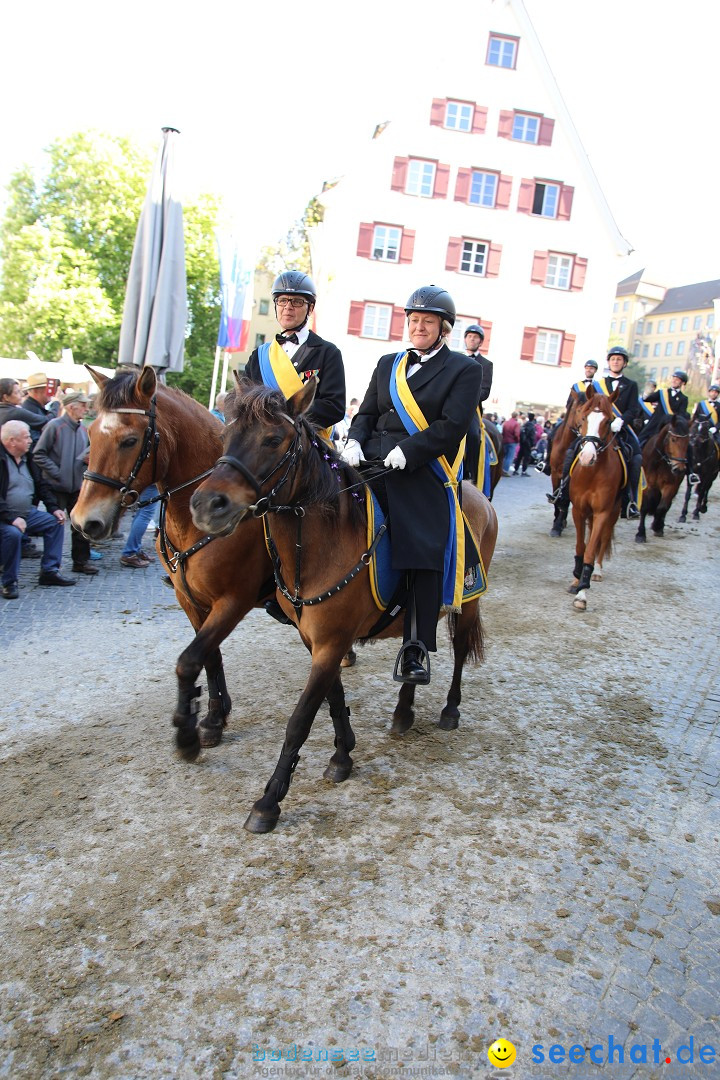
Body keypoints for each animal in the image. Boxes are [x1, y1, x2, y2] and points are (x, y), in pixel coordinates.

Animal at [71, 362, 273, 751]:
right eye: (89, 432)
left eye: (130, 440)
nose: (83, 522)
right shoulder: (189, 598)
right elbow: (209, 656)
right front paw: (214, 717)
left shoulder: (233, 600)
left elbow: (196, 656)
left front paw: (199, 723)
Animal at [188, 378, 498, 833]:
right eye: (225, 436)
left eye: (273, 439)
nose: (207, 505)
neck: (322, 541)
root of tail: (478, 494)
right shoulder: (317, 640)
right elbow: (332, 697)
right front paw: (342, 755)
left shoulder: (332, 642)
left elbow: (300, 719)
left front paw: (269, 801)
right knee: (418, 646)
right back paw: (403, 711)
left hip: (468, 603)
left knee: (459, 651)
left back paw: (450, 709)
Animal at [565, 386, 626, 609]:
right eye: (584, 417)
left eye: (608, 421)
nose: (587, 457)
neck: (592, 474)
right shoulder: (579, 510)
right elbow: (581, 546)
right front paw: (576, 579)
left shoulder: (602, 512)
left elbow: (591, 550)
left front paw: (582, 593)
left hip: (614, 511)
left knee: (604, 537)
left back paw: (597, 571)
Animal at [639, 414, 690, 544]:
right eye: (673, 439)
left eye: (688, 441)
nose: (679, 469)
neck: (660, 461)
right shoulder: (647, 485)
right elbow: (645, 507)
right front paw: (640, 534)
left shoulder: (671, 486)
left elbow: (662, 507)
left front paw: (657, 526)